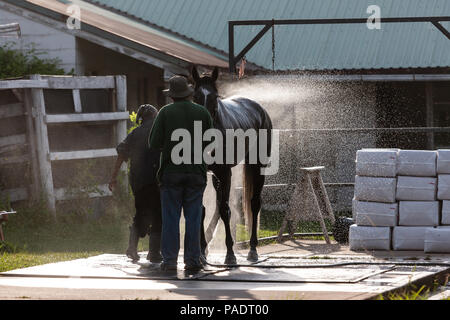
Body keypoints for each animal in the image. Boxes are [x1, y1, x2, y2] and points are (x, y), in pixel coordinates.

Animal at [192, 65, 272, 262]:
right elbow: (202, 209)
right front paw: (201, 250)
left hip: (257, 166)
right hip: (217, 177)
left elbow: (225, 210)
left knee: (253, 203)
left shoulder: (225, 172)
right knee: (218, 205)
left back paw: (252, 249)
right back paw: (207, 242)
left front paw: (230, 254)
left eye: (214, 97)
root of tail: (259, 109)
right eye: (195, 96)